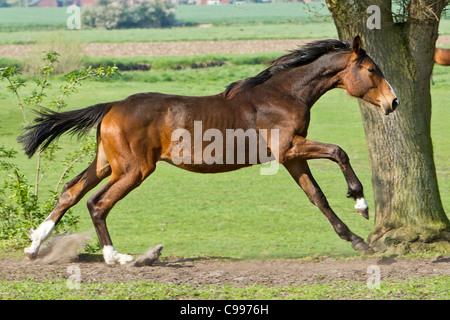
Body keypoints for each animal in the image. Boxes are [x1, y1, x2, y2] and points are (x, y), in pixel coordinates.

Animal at [20, 35, 398, 264]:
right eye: (371, 69)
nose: (392, 102)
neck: (283, 94)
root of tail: (112, 106)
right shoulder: (290, 148)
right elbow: (338, 151)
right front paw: (361, 203)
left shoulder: (291, 157)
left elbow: (317, 196)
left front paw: (357, 240)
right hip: (134, 169)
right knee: (97, 203)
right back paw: (118, 257)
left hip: (105, 163)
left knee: (70, 193)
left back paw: (34, 244)